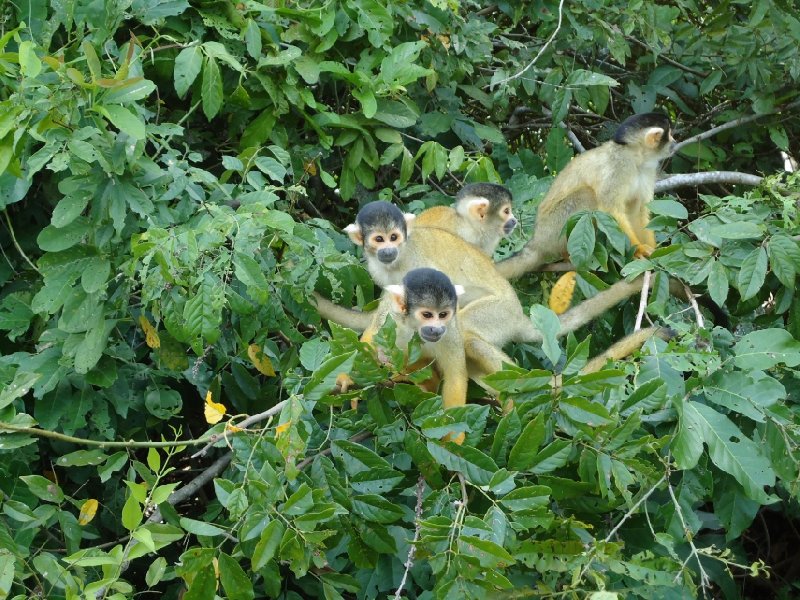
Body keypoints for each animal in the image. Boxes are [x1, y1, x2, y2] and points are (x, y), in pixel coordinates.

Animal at [496, 113, 680, 282]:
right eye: (670, 134)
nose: (675, 142)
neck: (636, 158)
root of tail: (537, 240)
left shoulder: (648, 170)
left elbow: (638, 210)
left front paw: (656, 253)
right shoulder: (619, 166)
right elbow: (610, 208)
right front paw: (639, 249)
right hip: (552, 230)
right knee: (587, 195)